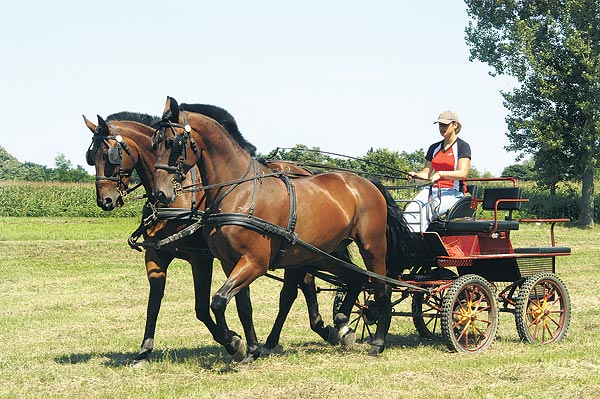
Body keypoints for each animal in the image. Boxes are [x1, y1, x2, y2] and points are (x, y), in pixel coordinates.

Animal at [82, 107, 340, 366]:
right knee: (303, 285)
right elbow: (153, 303)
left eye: (111, 154)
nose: (105, 200)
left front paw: (233, 342)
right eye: (91, 156)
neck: (179, 198)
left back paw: (325, 328)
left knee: (295, 289)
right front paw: (144, 350)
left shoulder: (201, 258)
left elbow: (201, 307)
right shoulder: (156, 253)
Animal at [152, 97, 414, 362]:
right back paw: (342, 325)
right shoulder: (230, 262)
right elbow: (241, 306)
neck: (240, 192)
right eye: (154, 143)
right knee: (356, 278)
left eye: (173, 142)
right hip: (325, 253)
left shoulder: (255, 262)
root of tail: (366, 182)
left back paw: (377, 342)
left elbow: (218, 301)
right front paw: (250, 349)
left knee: (382, 289)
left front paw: (235, 343)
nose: (160, 193)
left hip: (372, 247)